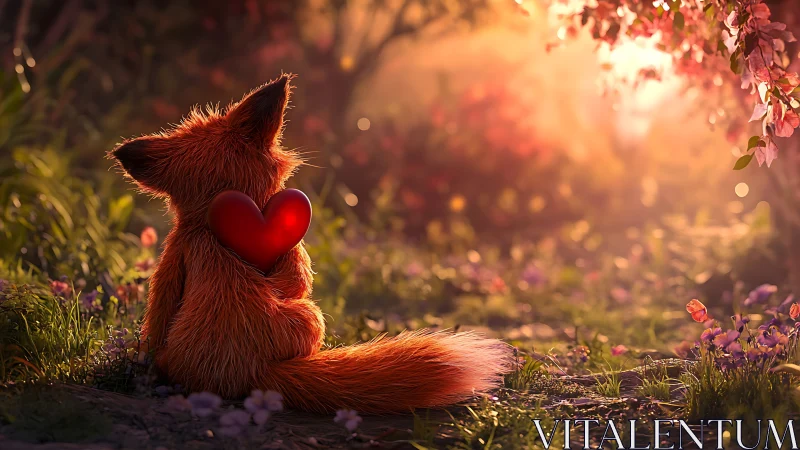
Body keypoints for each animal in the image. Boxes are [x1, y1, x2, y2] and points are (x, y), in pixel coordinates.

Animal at [110, 74, 513, 414]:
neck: (215, 221)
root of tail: (248, 371)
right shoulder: (286, 258)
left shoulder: (176, 260)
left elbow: (156, 323)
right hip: (308, 317)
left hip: (311, 317)